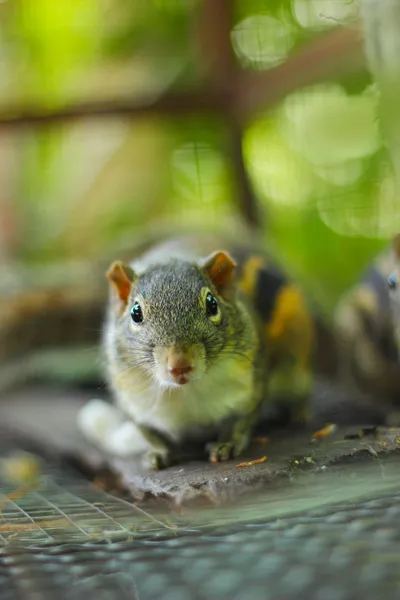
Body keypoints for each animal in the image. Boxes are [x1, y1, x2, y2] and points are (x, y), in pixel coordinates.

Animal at [77, 234, 316, 468]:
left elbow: (242, 419)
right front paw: (158, 452)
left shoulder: (252, 382)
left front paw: (227, 444)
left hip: (293, 367)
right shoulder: (131, 399)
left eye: (212, 304)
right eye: (136, 312)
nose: (179, 365)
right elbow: (149, 432)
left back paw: (299, 413)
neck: (184, 392)